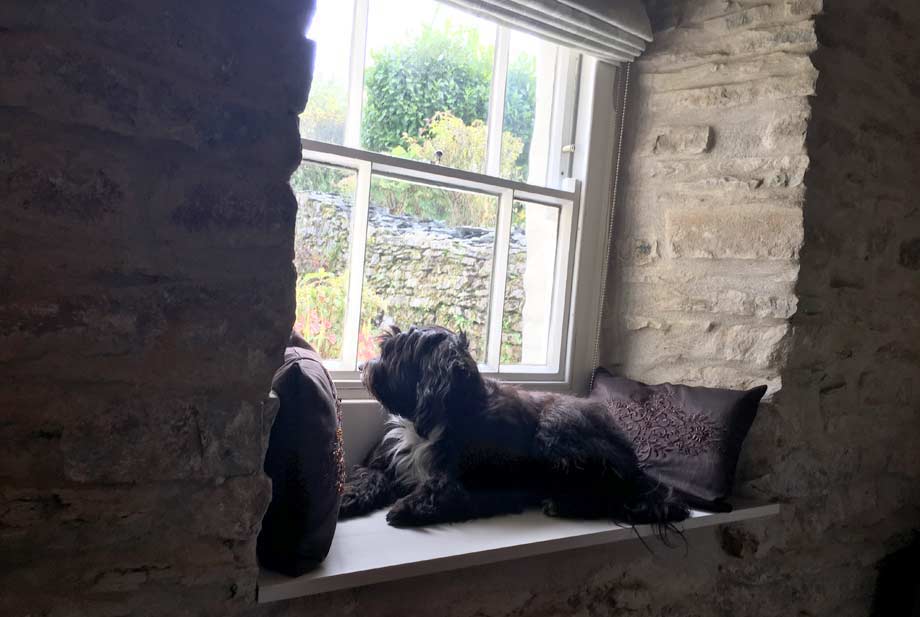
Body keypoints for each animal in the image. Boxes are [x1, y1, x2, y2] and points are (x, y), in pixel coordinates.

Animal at [342, 324, 688, 528]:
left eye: (394, 352)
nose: (362, 367)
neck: (439, 416)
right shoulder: (385, 462)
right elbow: (367, 476)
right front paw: (347, 497)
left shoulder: (486, 485)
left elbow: (446, 488)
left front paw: (410, 505)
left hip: (556, 426)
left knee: (605, 494)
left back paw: (561, 503)